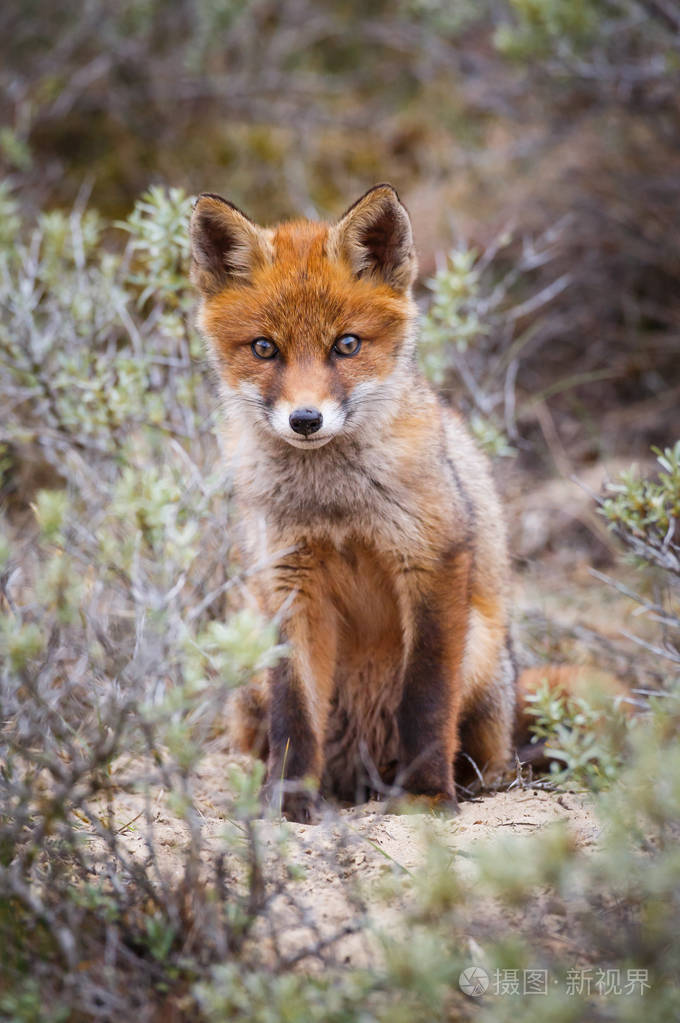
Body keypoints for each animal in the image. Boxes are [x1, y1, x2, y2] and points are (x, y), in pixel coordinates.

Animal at [188, 184, 580, 822]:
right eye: (264, 349)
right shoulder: (289, 582)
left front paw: (425, 796)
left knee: (495, 753)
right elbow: (294, 711)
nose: (305, 420)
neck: (337, 505)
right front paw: (286, 804)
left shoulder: (432, 562)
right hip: (247, 658)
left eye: (346, 345)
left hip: (481, 654)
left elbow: (425, 699)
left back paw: (473, 782)